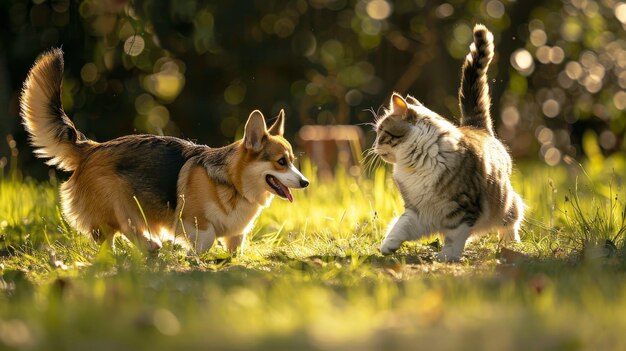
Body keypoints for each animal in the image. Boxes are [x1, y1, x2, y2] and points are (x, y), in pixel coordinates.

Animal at [20, 48, 308, 253]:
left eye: (292, 160)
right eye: (281, 162)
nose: (306, 182)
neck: (235, 184)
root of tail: (90, 148)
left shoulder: (236, 236)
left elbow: (233, 250)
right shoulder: (194, 222)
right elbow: (206, 239)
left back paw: (148, 247)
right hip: (116, 204)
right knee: (114, 233)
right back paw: (146, 247)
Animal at [372, 24, 524, 262]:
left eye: (382, 132)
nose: (374, 146)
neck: (414, 165)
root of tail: (476, 126)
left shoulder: (462, 207)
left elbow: (455, 235)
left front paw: (447, 256)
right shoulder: (418, 210)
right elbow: (401, 226)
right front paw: (388, 246)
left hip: (504, 203)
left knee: (512, 217)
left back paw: (511, 243)